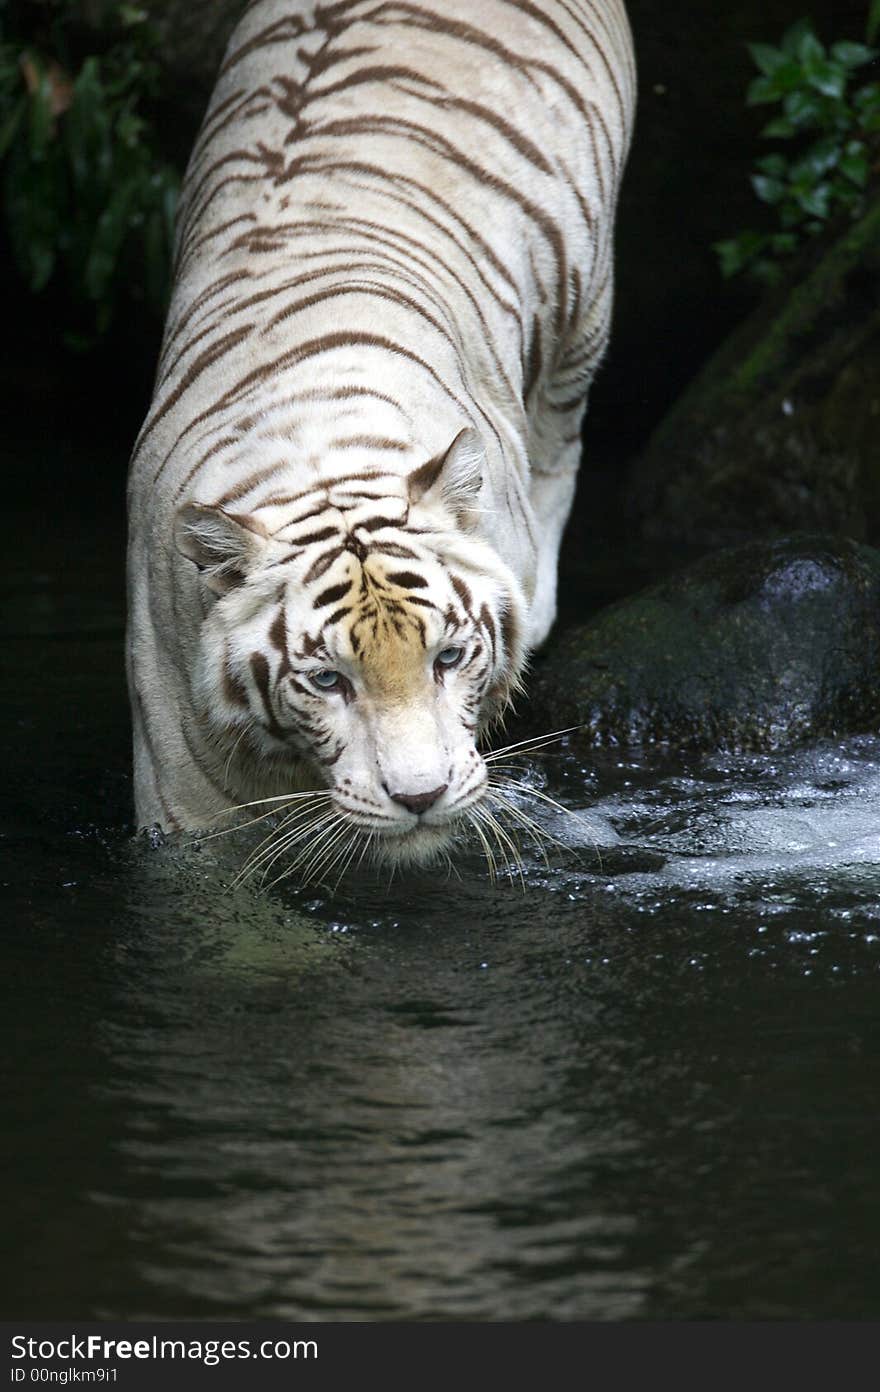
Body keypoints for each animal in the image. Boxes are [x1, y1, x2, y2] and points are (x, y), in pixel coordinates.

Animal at [125, 0, 632, 874]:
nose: (420, 797)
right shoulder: (184, 804)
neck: (318, 452)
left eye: (449, 658)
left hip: (582, 319)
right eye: (328, 681)